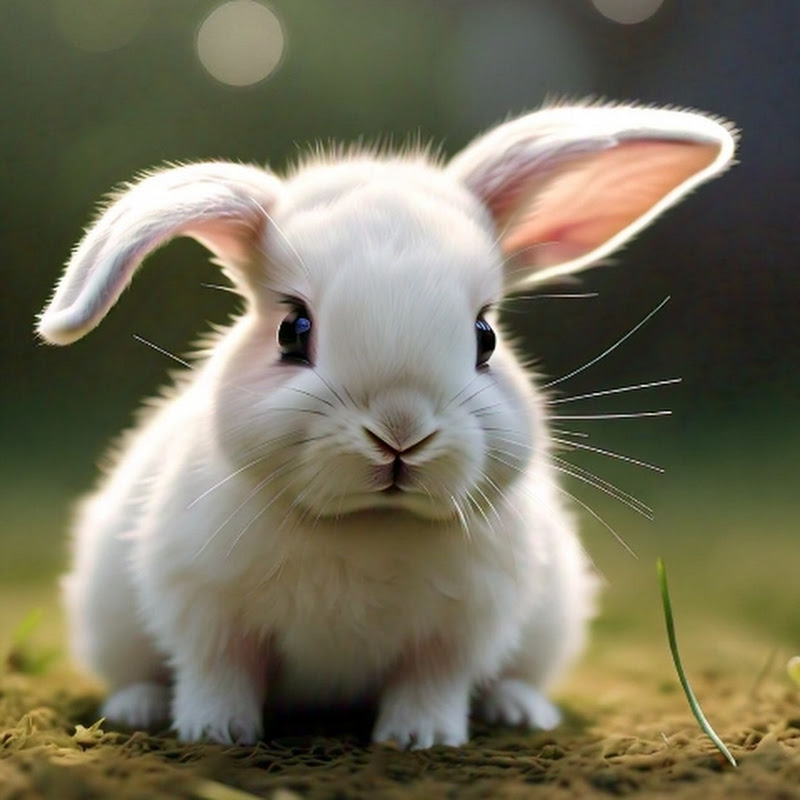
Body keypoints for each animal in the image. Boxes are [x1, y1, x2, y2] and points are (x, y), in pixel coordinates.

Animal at [38, 102, 736, 749]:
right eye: (292, 330)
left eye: (485, 336)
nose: (401, 432)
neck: (368, 524)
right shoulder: (205, 609)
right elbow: (217, 673)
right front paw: (215, 732)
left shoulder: (458, 633)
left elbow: (431, 684)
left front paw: (421, 738)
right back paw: (138, 708)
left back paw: (518, 709)